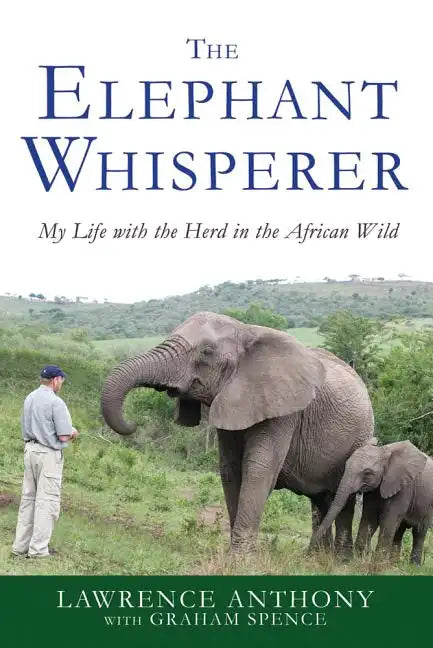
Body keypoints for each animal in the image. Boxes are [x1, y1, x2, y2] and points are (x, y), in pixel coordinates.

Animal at [101, 311, 374, 554]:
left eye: (207, 351)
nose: (133, 424)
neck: (246, 331)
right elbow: (230, 470)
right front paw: (234, 552)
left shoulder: (284, 410)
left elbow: (258, 469)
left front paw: (240, 559)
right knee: (320, 499)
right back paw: (316, 556)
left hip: (361, 437)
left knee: (344, 498)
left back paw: (339, 559)